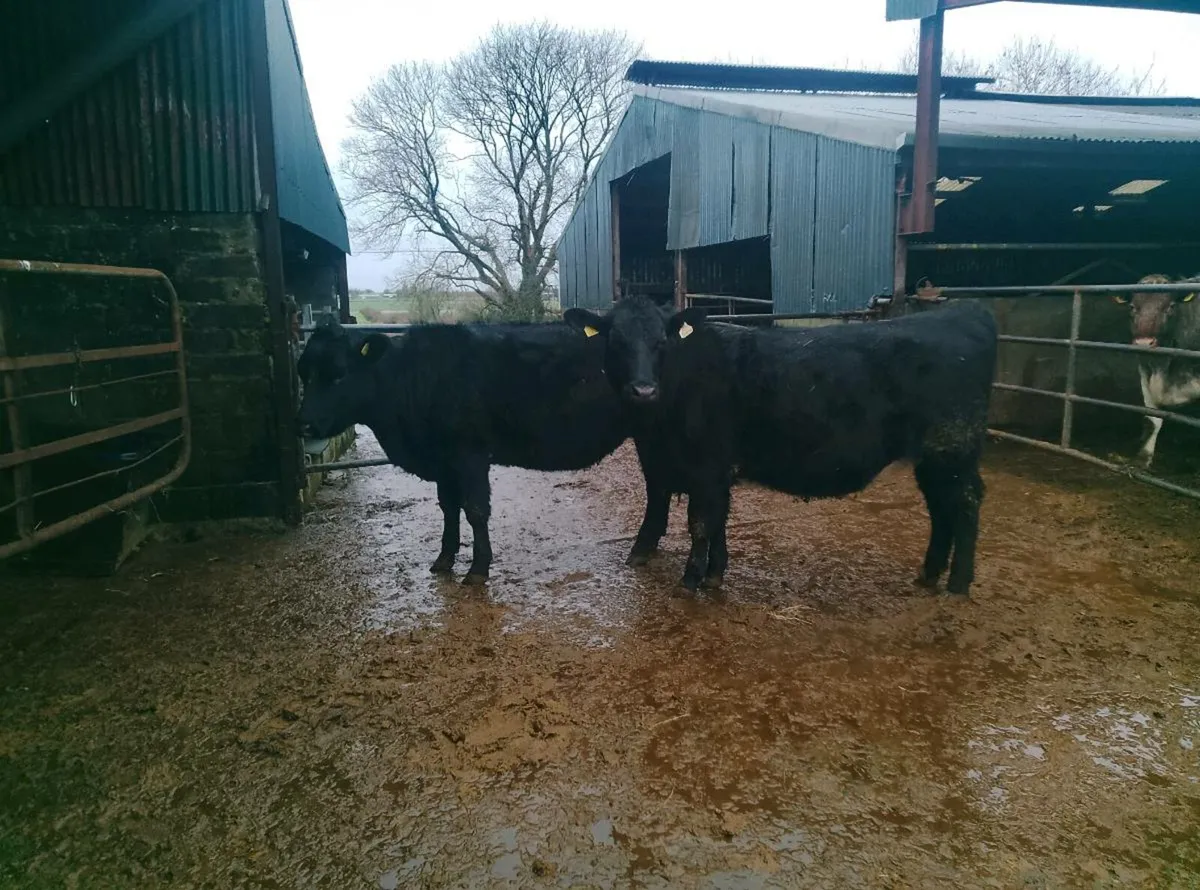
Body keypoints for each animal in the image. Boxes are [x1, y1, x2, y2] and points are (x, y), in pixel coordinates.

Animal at [297, 319, 671, 585]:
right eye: (304, 375)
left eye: (339, 375)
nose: (305, 424)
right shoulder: (444, 461)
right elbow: (448, 508)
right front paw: (443, 560)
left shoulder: (469, 453)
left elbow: (475, 510)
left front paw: (478, 569)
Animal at [564, 296, 999, 596]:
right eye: (616, 340)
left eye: (661, 342)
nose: (643, 390)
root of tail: (964, 312)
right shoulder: (684, 466)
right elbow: (707, 519)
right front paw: (713, 574)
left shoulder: (706, 466)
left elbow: (701, 522)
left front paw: (691, 579)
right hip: (935, 458)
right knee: (941, 508)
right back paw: (929, 574)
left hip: (953, 449)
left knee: (964, 504)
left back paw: (958, 584)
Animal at [1114, 273, 1200, 468]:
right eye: (1132, 307)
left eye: (1171, 307)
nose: (1144, 343)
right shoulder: (1145, 372)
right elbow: (1152, 420)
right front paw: (1143, 458)